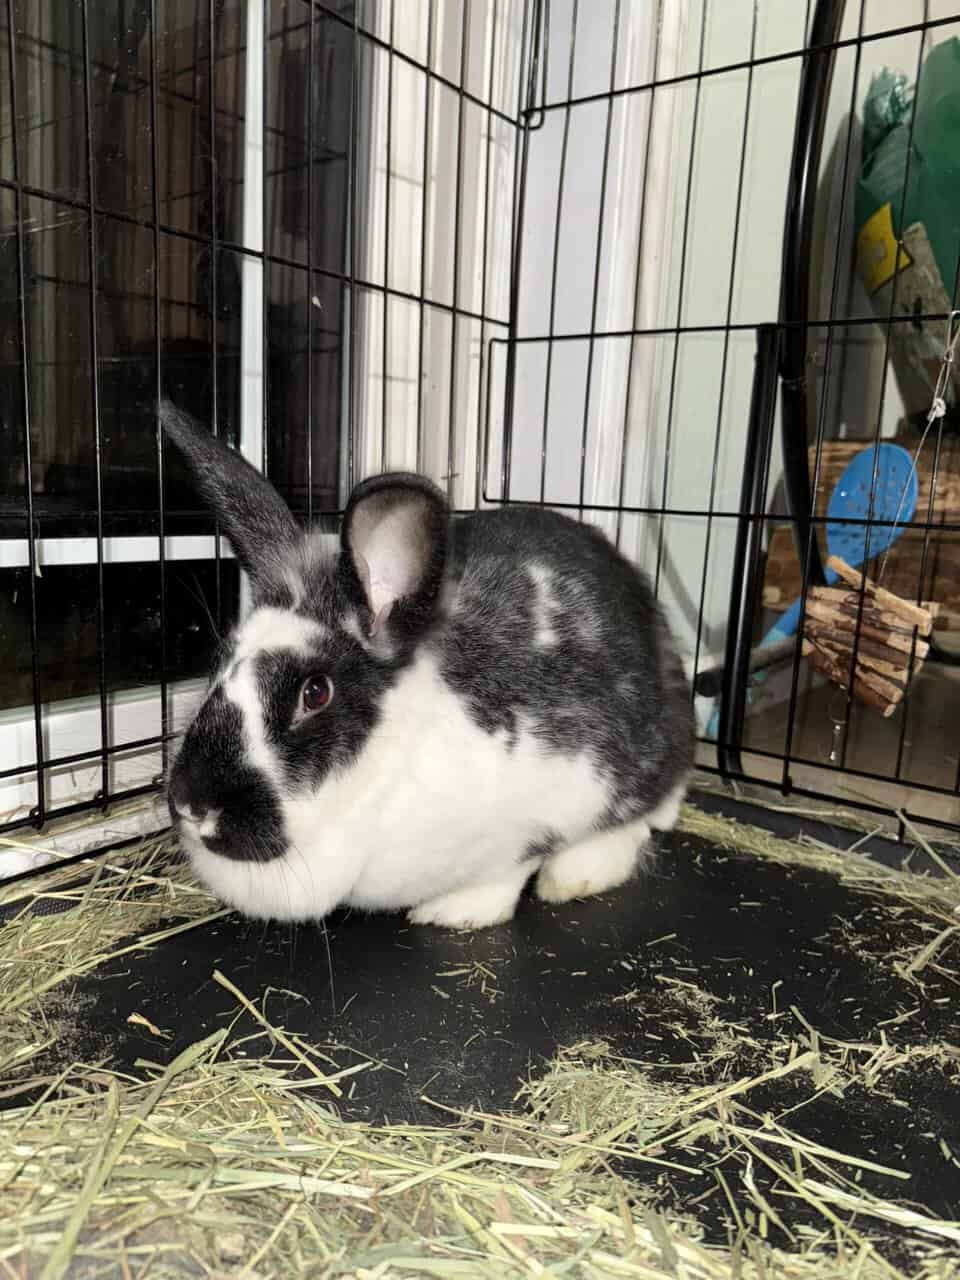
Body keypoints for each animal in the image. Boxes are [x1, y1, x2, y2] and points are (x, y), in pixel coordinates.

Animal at [162, 401, 695, 930]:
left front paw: (452, 912)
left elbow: (506, 872)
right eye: (218, 663)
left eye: (314, 693)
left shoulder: (550, 800)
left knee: (643, 818)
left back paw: (573, 877)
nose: (191, 804)